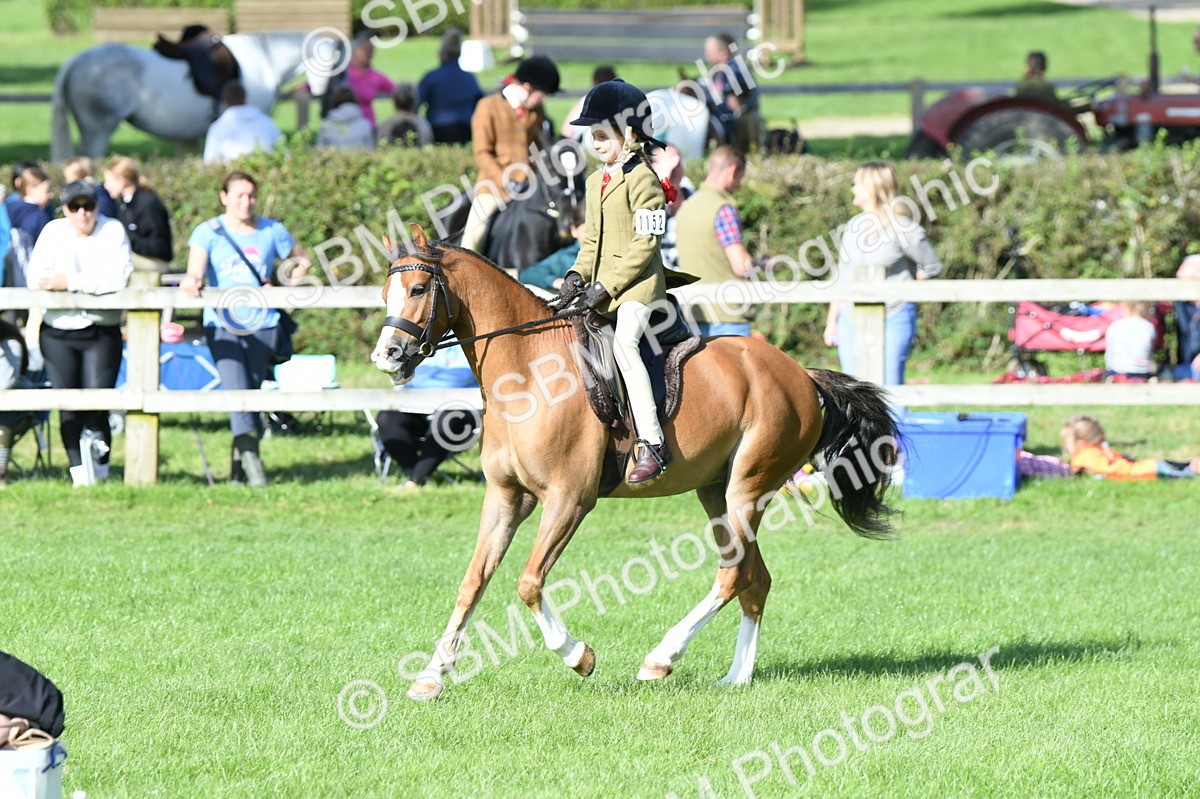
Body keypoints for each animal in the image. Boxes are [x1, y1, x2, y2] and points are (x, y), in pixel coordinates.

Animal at [50, 31, 340, 161]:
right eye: (335, 65)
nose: (326, 104)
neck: (263, 59)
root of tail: (78, 60)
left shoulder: (188, 138)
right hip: (98, 132)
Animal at [371, 225, 900, 701]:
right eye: (385, 292)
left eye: (418, 289)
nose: (387, 356)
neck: (526, 375)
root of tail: (801, 374)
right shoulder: (505, 497)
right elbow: (472, 583)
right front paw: (431, 678)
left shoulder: (569, 501)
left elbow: (529, 582)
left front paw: (579, 656)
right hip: (715, 492)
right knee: (754, 580)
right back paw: (736, 677)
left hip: (747, 489)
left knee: (735, 575)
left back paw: (661, 658)